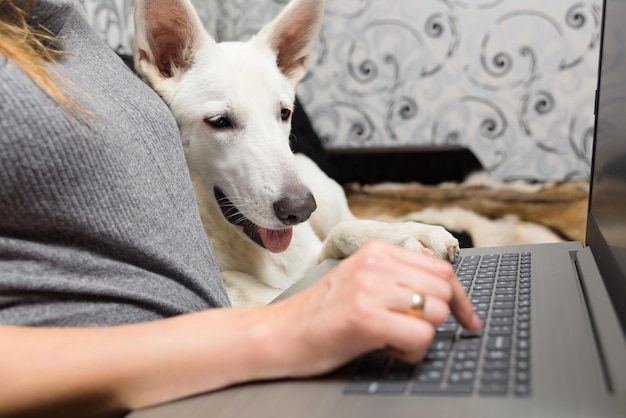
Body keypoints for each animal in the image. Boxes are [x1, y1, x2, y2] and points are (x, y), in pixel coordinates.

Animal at [133, 0, 458, 306]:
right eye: (219, 122)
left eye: (284, 113)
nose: (300, 209)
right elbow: (244, 285)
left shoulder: (315, 253)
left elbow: (342, 232)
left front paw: (402, 235)